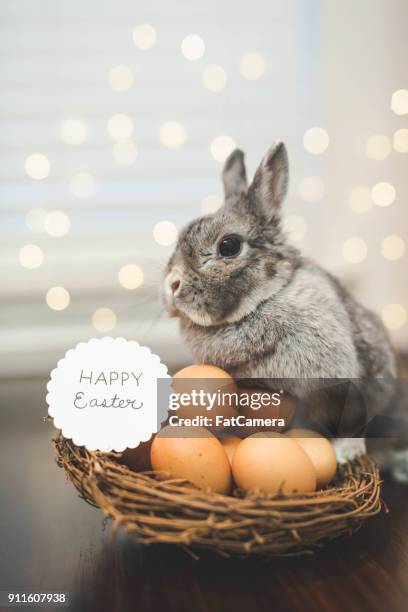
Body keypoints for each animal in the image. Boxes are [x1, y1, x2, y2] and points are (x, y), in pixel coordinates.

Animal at [163, 146, 408, 476]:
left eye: (229, 246)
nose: (171, 285)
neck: (263, 300)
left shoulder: (341, 383)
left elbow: (350, 420)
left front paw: (345, 452)